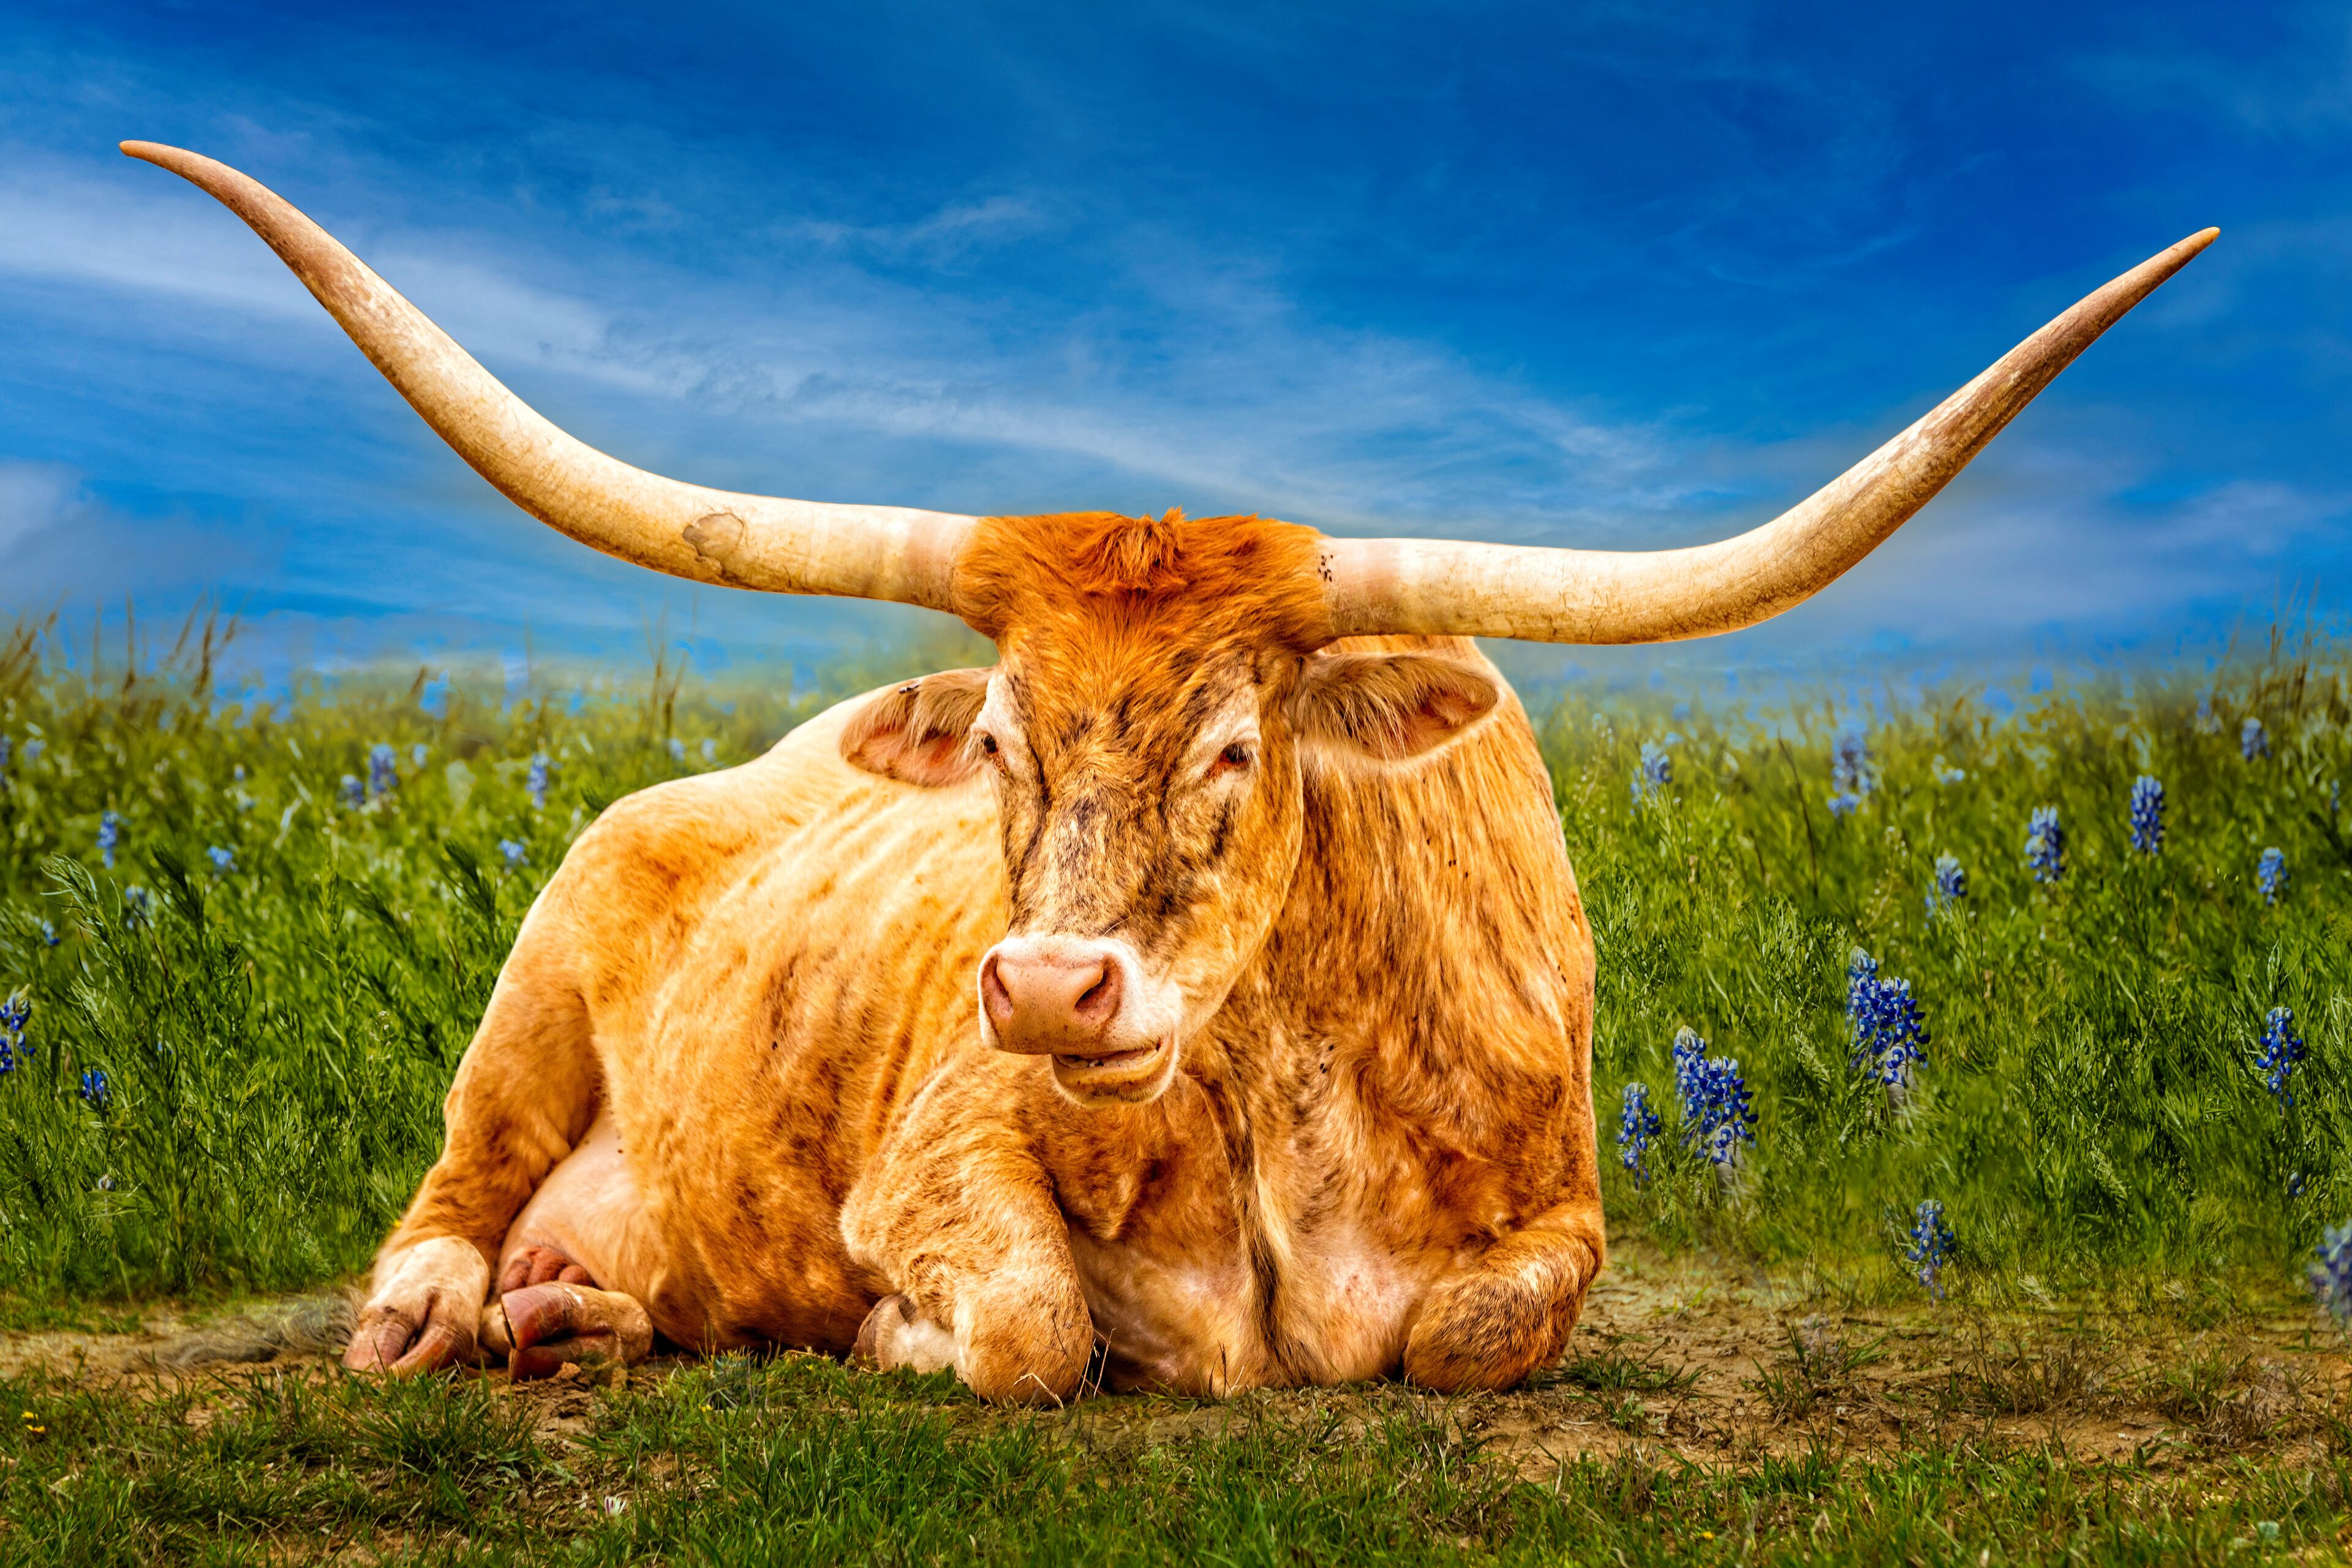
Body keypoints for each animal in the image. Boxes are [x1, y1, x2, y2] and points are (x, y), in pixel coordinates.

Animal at [125, 142, 2213, 1401]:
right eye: (993, 740)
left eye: (1233, 741)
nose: (1051, 988)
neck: (1296, 1094)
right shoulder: (938, 1147)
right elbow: (1035, 1325)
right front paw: (896, 1334)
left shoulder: (1556, 1221)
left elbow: (1473, 1331)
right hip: (534, 989)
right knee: (455, 1181)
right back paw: (448, 1310)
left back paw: (581, 1313)